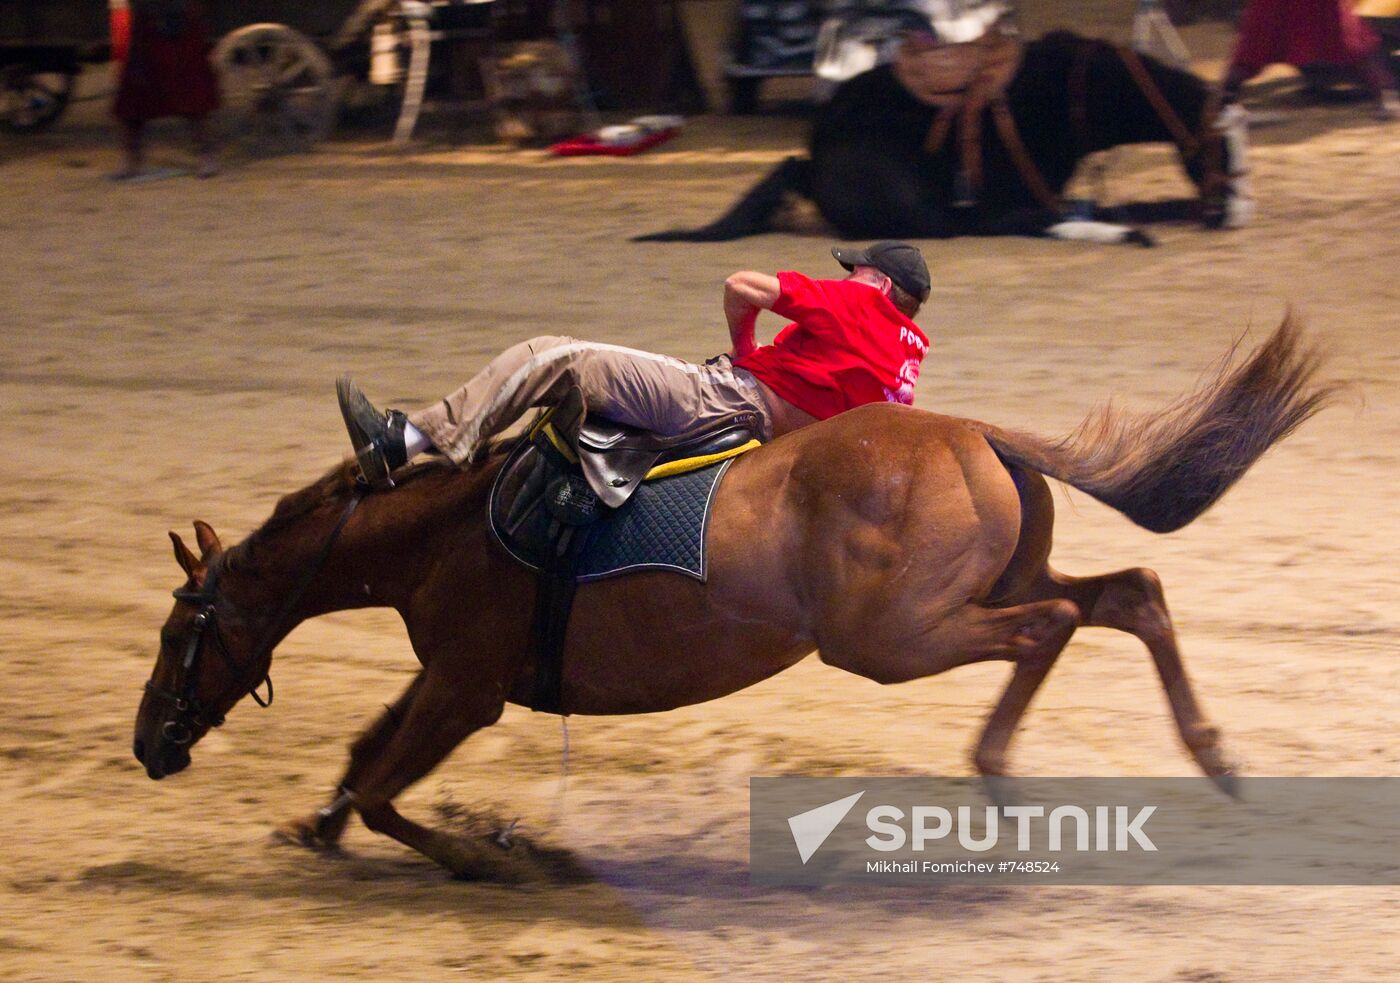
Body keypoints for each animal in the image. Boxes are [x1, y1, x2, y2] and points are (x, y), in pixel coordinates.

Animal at [136, 317, 1327, 879]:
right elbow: (360, 761)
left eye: (183, 623)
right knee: (1129, 595)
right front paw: (317, 825)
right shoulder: (445, 676)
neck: (452, 521)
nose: (147, 740)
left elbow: (388, 787)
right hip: (993, 580)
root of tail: (977, 432)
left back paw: (1000, 776)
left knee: (1055, 625)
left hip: (898, 634)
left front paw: (490, 854)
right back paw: (1213, 753)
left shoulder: (466, 686)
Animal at [641, 33, 1254, 245]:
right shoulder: (1013, 199)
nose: (1236, 213)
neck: (1076, 93)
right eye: (1220, 144)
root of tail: (810, 161)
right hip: (928, 214)